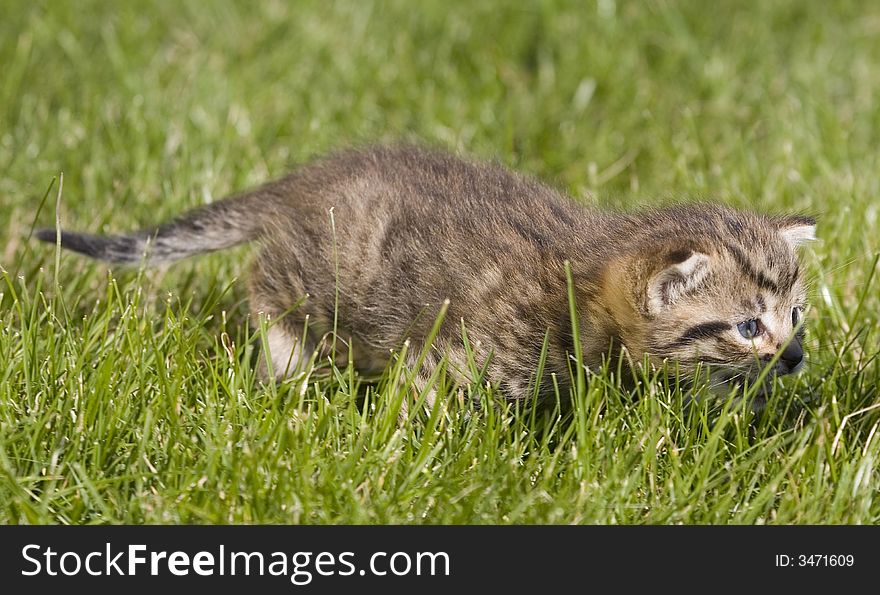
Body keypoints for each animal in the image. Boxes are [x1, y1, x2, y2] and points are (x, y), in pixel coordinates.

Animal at [37, 146, 816, 410]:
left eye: (797, 315)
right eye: (749, 324)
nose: (795, 356)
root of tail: (303, 180)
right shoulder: (458, 352)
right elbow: (423, 405)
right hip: (322, 276)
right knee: (265, 288)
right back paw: (289, 366)